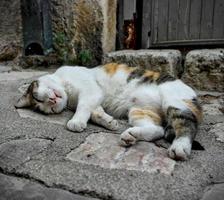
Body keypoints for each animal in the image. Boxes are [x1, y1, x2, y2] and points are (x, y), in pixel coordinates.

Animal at [14, 63, 202, 160]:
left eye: (38, 97)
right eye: (48, 108)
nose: (52, 100)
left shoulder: (89, 90)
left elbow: (83, 107)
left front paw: (76, 121)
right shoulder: (94, 99)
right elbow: (95, 112)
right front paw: (108, 122)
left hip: (174, 102)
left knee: (187, 125)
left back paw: (180, 147)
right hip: (140, 111)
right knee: (158, 130)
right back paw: (130, 135)